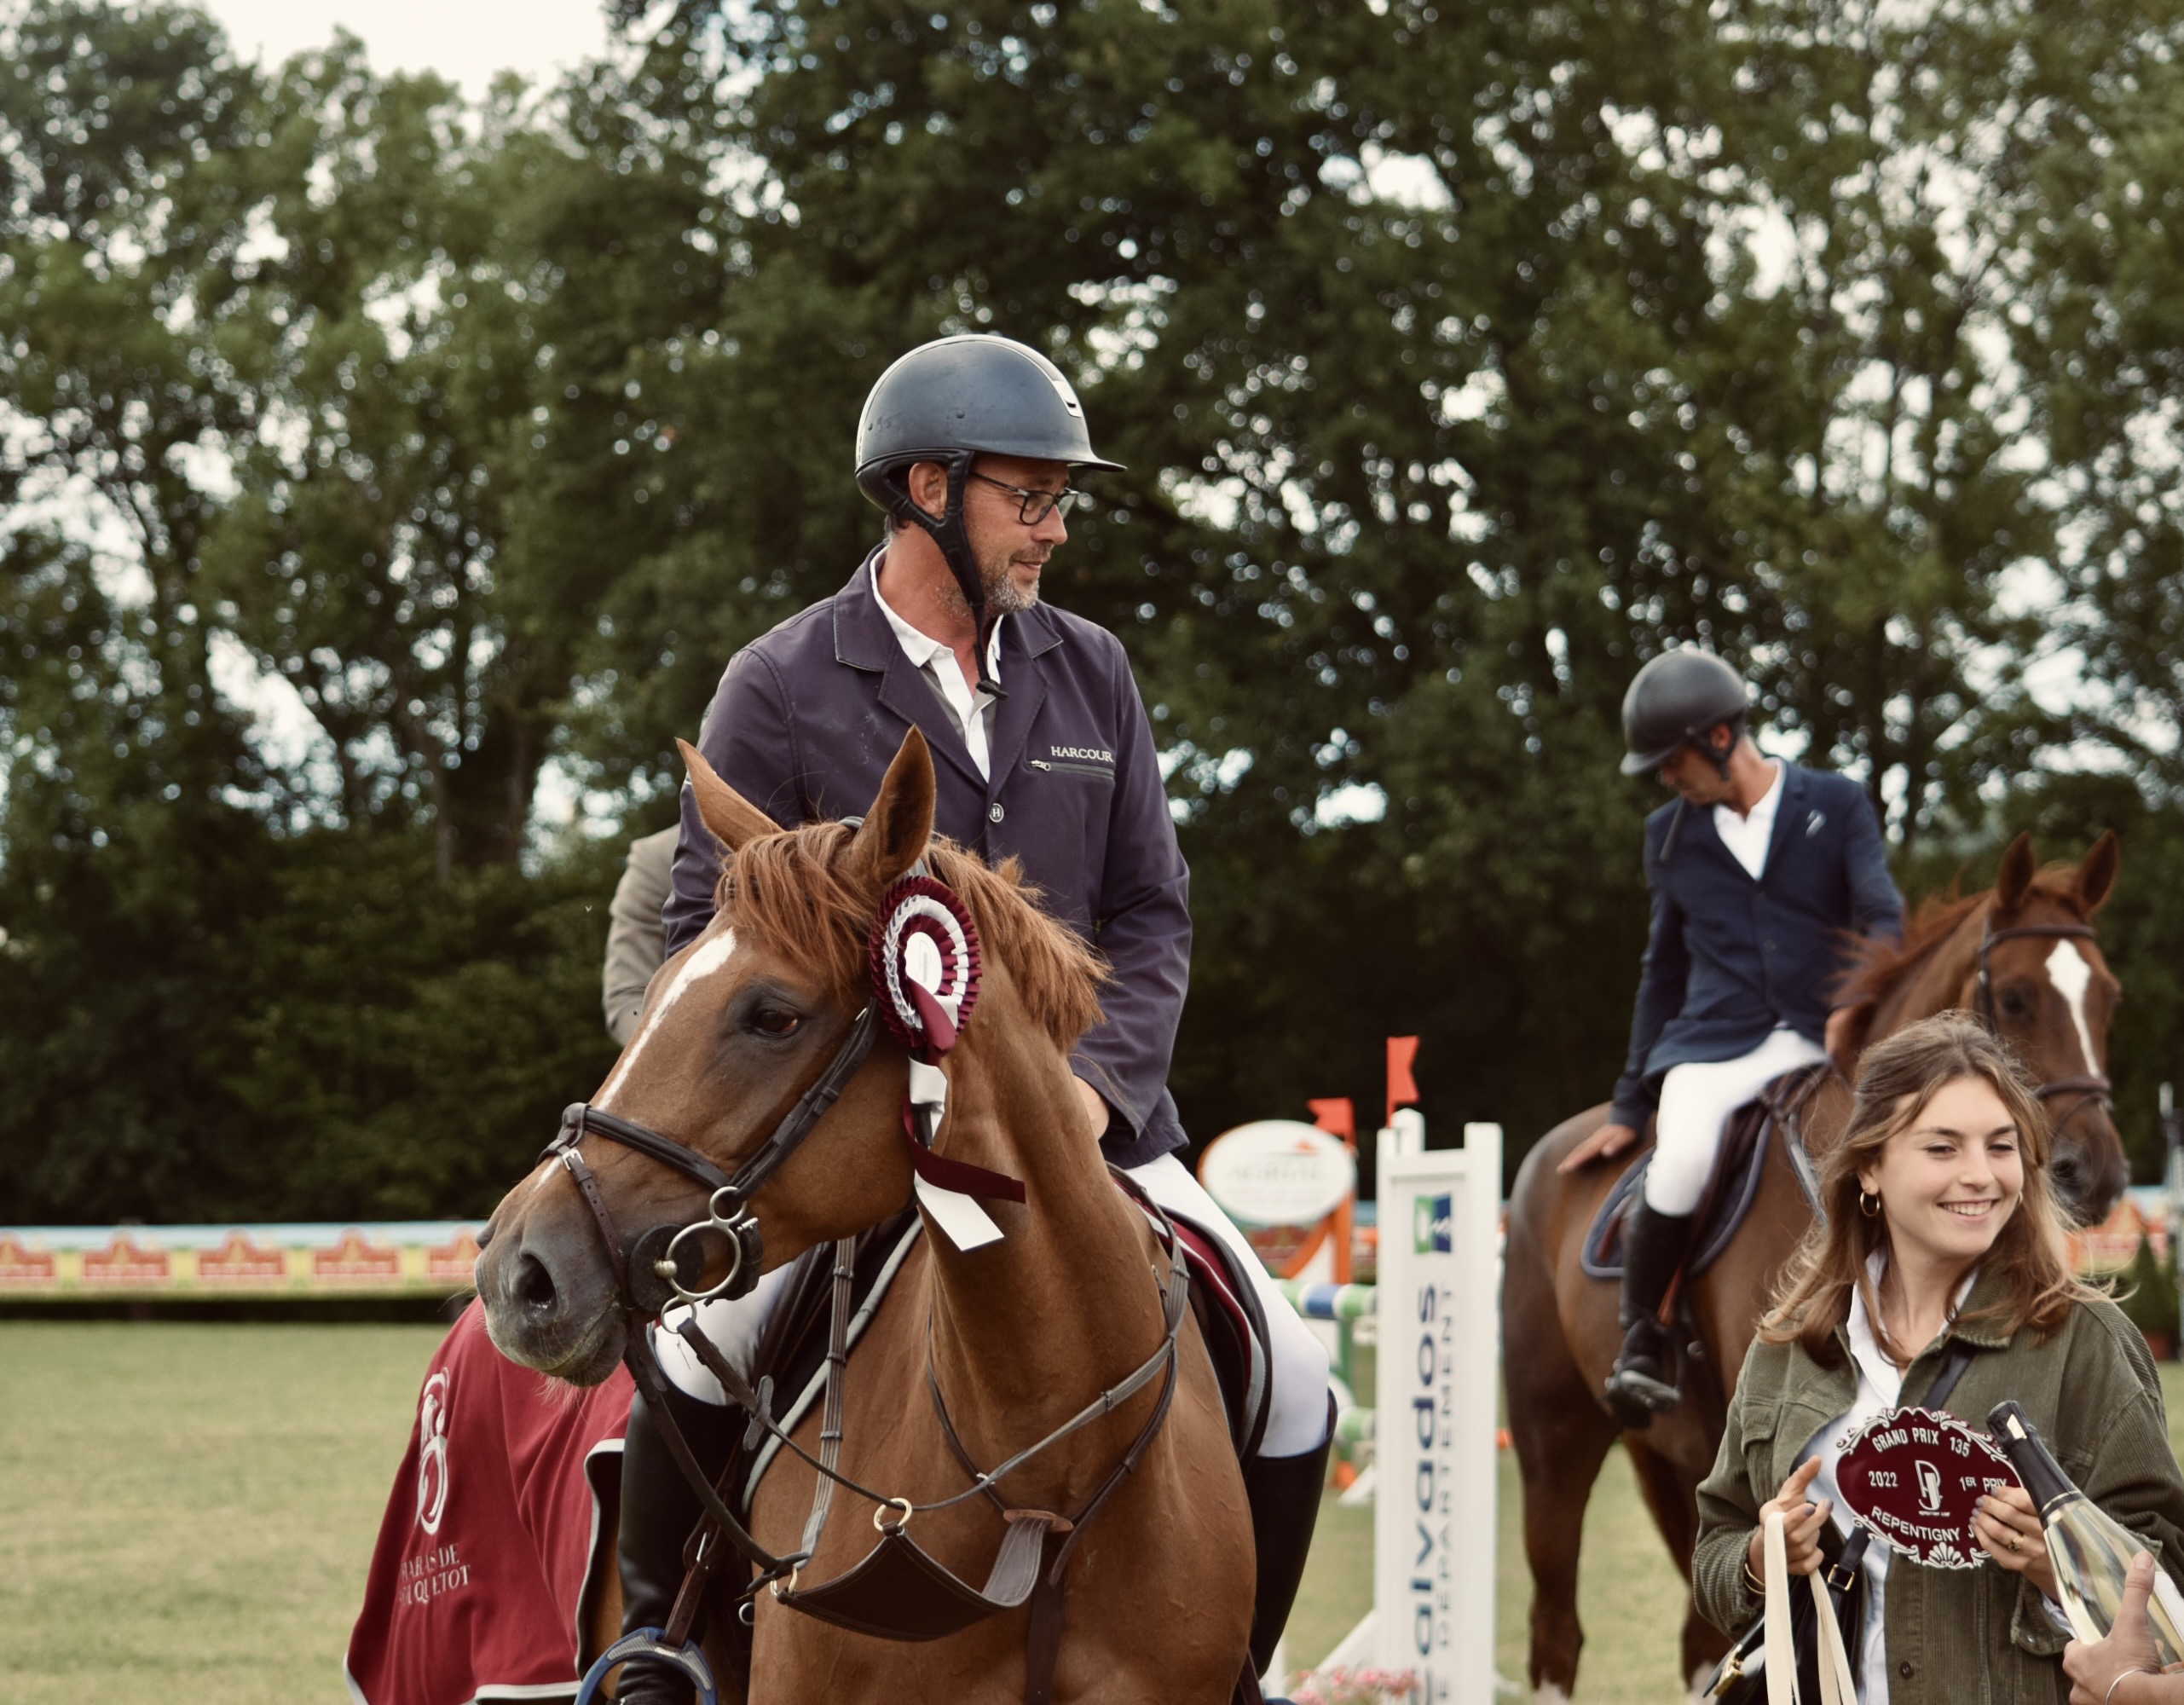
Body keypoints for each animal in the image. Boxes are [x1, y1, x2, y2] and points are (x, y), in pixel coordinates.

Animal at [1502, 831, 2127, 1702]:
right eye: (2013, 999)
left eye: (2108, 999)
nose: (2093, 1174)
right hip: (1552, 1440)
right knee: (1556, 1630)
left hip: (1664, 1452)